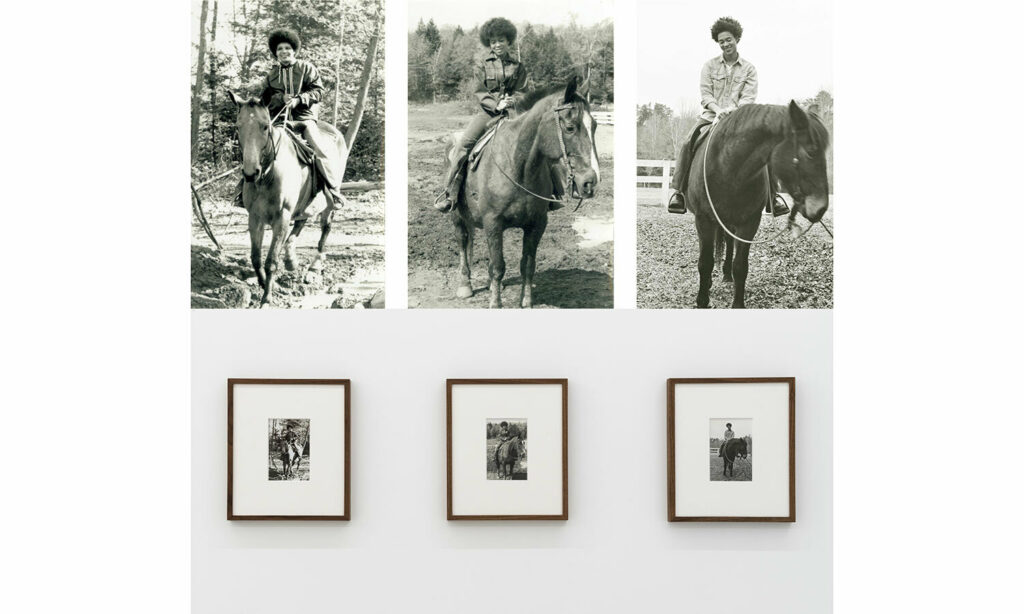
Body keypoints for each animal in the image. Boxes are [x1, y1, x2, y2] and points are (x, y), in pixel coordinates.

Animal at [227, 92, 348, 307]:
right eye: (238, 126)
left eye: (265, 126)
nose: (250, 173)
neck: (267, 176)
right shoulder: (254, 218)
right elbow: (256, 257)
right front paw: (262, 283)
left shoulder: (281, 217)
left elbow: (271, 261)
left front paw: (266, 298)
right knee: (301, 222)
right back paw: (291, 258)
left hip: (329, 201)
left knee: (325, 227)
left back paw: (314, 266)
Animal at [442, 76, 598, 307]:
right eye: (570, 127)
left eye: (594, 126)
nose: (590, 182)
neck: (518, 167)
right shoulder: (493, 224)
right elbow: (498, 266)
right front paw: (495, 303)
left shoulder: (536, 225)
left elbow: (527, 265)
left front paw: (526, 301)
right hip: (456, 215)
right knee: (463, 241)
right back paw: (465, 285)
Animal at [679, 103, 831, 311]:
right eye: (811, 151)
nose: (821, 208)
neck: (729, 169)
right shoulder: (703, 220)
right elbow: (705, 262)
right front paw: (702, 301)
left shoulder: (749, 223)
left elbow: (741, 266)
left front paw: (737, 303)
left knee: (729, 244)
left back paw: (727, 275)